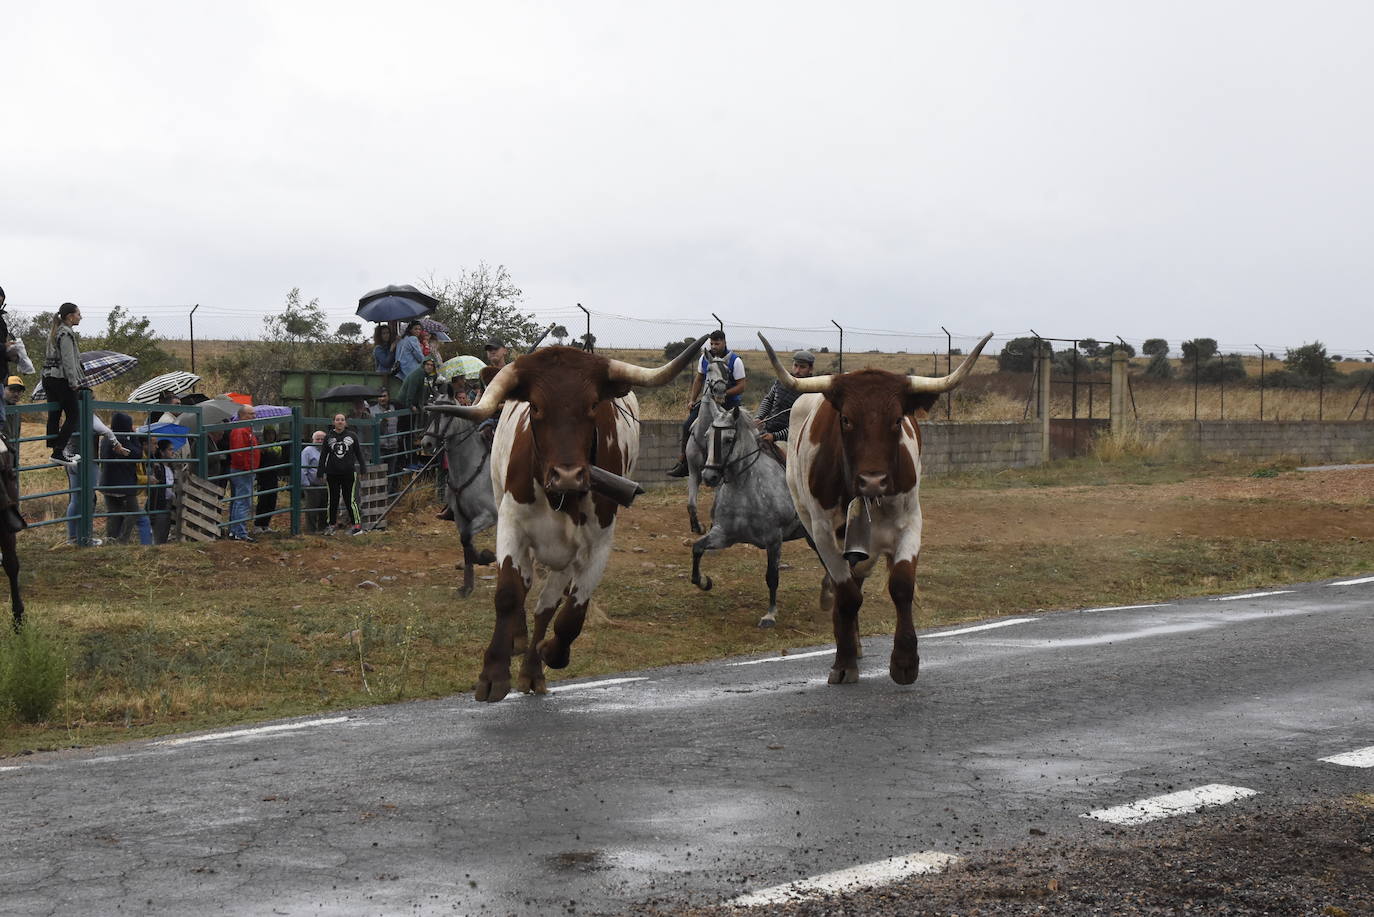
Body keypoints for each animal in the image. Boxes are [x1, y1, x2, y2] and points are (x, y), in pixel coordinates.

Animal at [423, 398, 505, 599]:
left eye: (446, 414)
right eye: (429, 413)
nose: (426, 443)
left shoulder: (489, 515)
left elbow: (467, 537)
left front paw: (486, 556)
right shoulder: (461, 517)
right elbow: (465, 541)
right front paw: (467, 586)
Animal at [684, 354, 736, 533]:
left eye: (728, 370)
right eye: (709, 369)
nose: (719, 391)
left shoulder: (719, 478)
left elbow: (715, 505)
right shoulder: (693, 471)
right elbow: (691, 504)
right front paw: (696, 526)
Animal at [692, 404, 807, 626]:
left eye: (728, 439)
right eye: (707, 436)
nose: (709, 477)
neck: (745, 486)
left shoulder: (774, 540)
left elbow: (772, 577)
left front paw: (770, 614)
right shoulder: (723, 534)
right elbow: (697, 548)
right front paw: (704, 581)